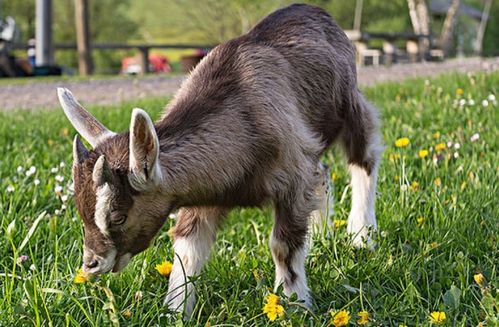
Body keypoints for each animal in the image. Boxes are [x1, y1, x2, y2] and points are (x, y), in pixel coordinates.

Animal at [57, 3, 382, 318]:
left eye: (118, 217)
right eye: (81, 211)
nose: (91, 265)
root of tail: (316, 12)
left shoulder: (293, 176)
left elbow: (283, 245)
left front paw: (295, 304)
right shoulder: (202, 194)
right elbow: (187, 250)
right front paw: (174, 312)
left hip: (350, 106)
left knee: (364, 156)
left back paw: (360, 235)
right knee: (323, 172)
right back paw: (323, 234)